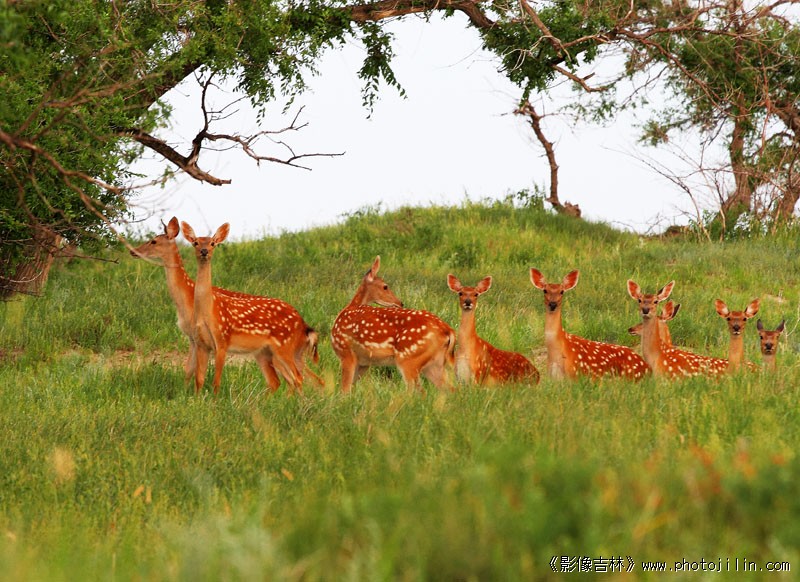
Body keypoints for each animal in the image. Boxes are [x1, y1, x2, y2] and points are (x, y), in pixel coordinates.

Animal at [180, 221, 322, 395]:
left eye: (213, 243)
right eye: (195, 242)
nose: (204, 251)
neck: (208, 311)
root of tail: (302, 323)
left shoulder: (222, 340)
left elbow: (216, 381)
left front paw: (214, 399)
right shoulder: (201, 343)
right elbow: (199, 379)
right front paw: (197, 398)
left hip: (284, 347)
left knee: (298, 377)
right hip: (267, 352)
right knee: (284, 380)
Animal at [331, 256, 456, 393]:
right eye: (385, 286)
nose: (400, 302)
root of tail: (448, 330)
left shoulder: (346, 351)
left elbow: (344, 389)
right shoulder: (364, 362)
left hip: (409, 358)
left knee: (418, 391)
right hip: (435, 363)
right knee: (450, 389)